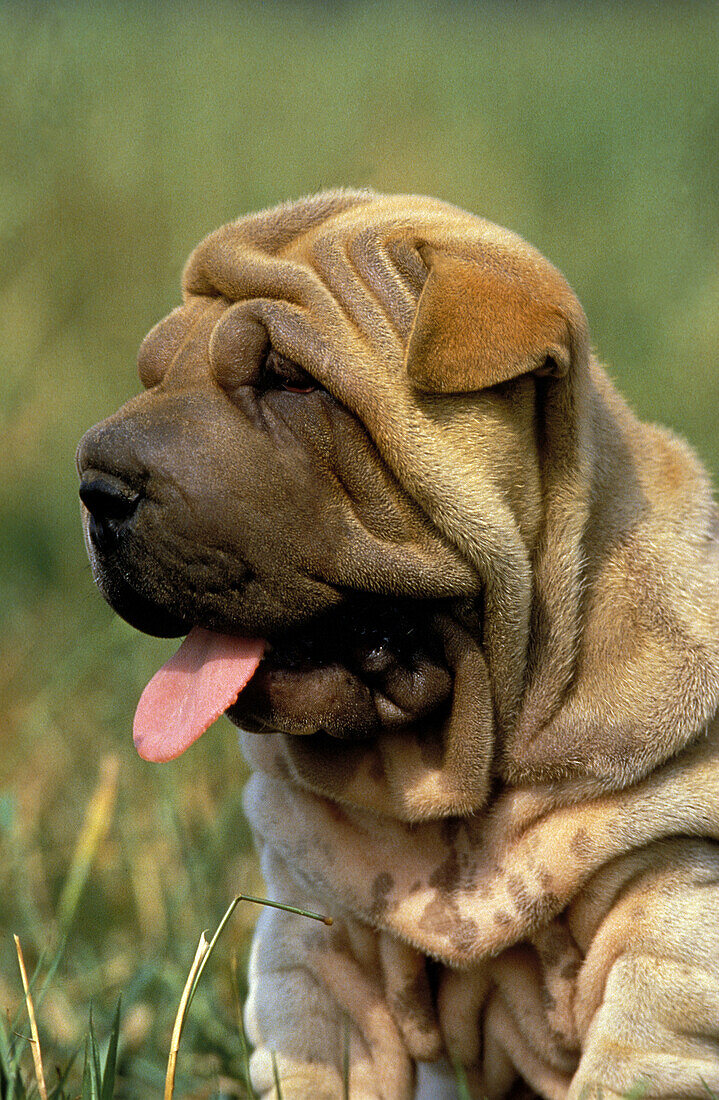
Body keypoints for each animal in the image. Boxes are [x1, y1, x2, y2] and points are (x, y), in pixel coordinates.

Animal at [79, 193, 719, 1095]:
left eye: (290, 379)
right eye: (154, 375)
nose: (94, 486)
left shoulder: (668, 925)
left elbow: (627, 1063)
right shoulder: (315, 956)